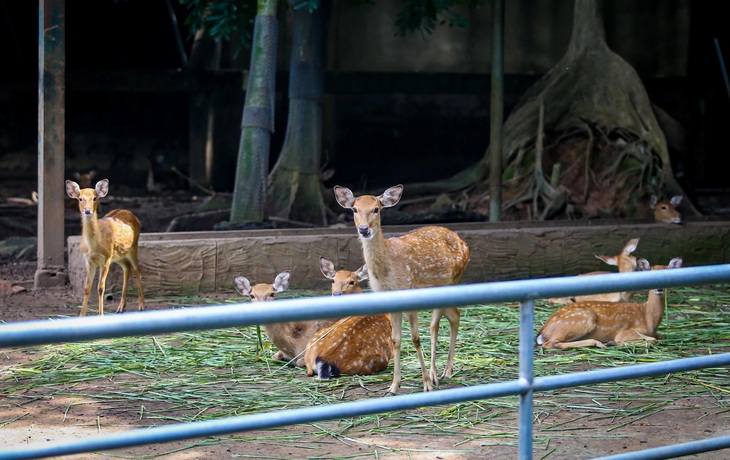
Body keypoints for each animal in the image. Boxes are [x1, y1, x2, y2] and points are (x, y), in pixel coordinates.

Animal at [66, 177, 145, 316]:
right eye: (80, 198)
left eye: (94, 198)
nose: (87, 210)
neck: (94, 246)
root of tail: (131, 214)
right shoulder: (88, 260)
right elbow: (87, 287)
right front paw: (81, 315)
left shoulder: (106, 259)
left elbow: (101, 287)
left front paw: (101, 314)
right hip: (118, 254)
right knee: (127, 267)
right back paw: (121, 307)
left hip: (133, 247)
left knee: (137, 269)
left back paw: (141, 305)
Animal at [332, 185, 470, 394]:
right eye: (354, 209)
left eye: (376, 209)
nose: (364, 229)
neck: (387, 272)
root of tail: (465, 244)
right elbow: (395, 340)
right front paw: (394, 386)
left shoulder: (409, 292)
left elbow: (415, 338)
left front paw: (426, 384)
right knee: (454, 315)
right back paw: (442, 372)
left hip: (450, 282)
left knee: (436, 324)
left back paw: (439, 374)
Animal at [536, 256, 684, 350]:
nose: (659, 288)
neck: (648, 320)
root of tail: (543, 330)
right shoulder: (627, 331)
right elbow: (652, 341)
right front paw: (614, 342)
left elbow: (659, 337)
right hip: (583, 318)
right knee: (551, 343)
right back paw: (600, 343)